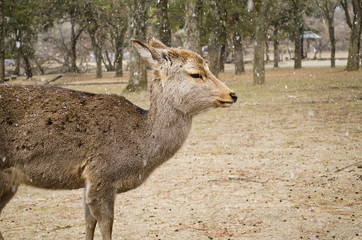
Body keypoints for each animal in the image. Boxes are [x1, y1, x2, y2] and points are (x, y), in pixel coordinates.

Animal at [0, 38, 238, 239]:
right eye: (195, 73)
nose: (232, 94)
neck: (140, 148)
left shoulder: (87, 181)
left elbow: (88, 222)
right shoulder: (102, 174)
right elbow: (107, 225)